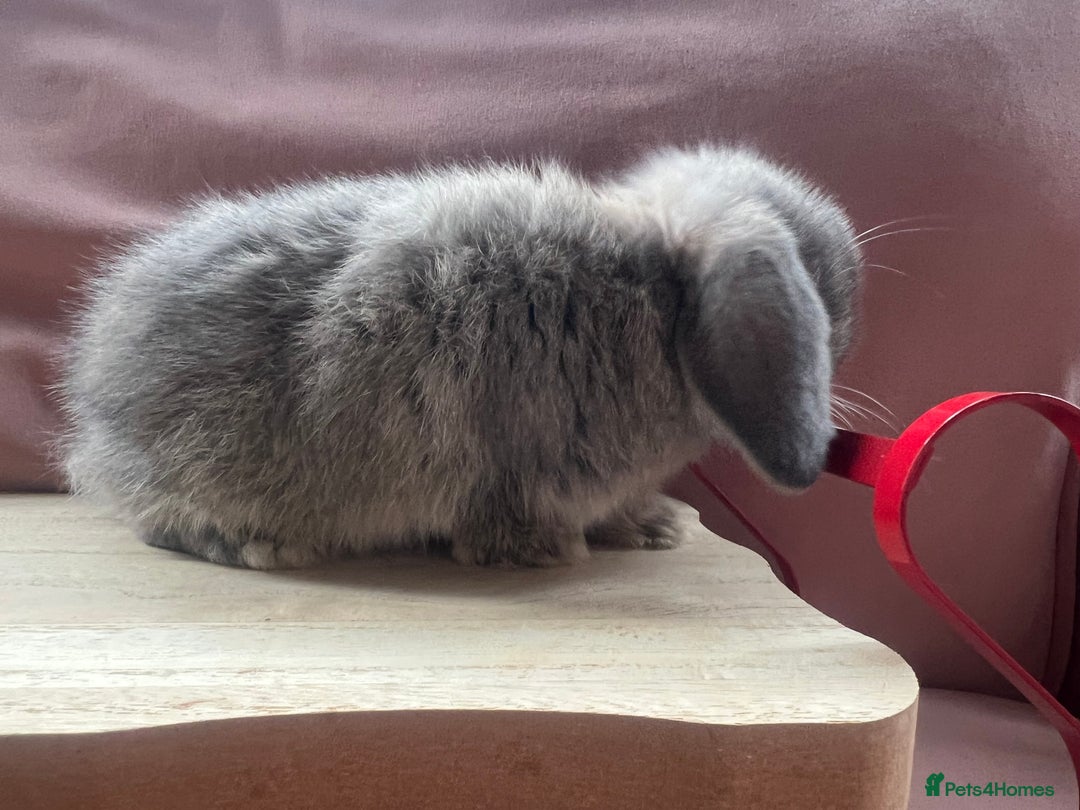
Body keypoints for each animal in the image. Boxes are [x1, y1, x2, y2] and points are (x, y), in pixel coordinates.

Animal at [58, 144, 861, 569]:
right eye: (827, 303)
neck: (651, 292)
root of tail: (95, 418)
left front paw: (650, 528)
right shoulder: (528, 466)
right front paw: (549, 552)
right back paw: (263, 546)